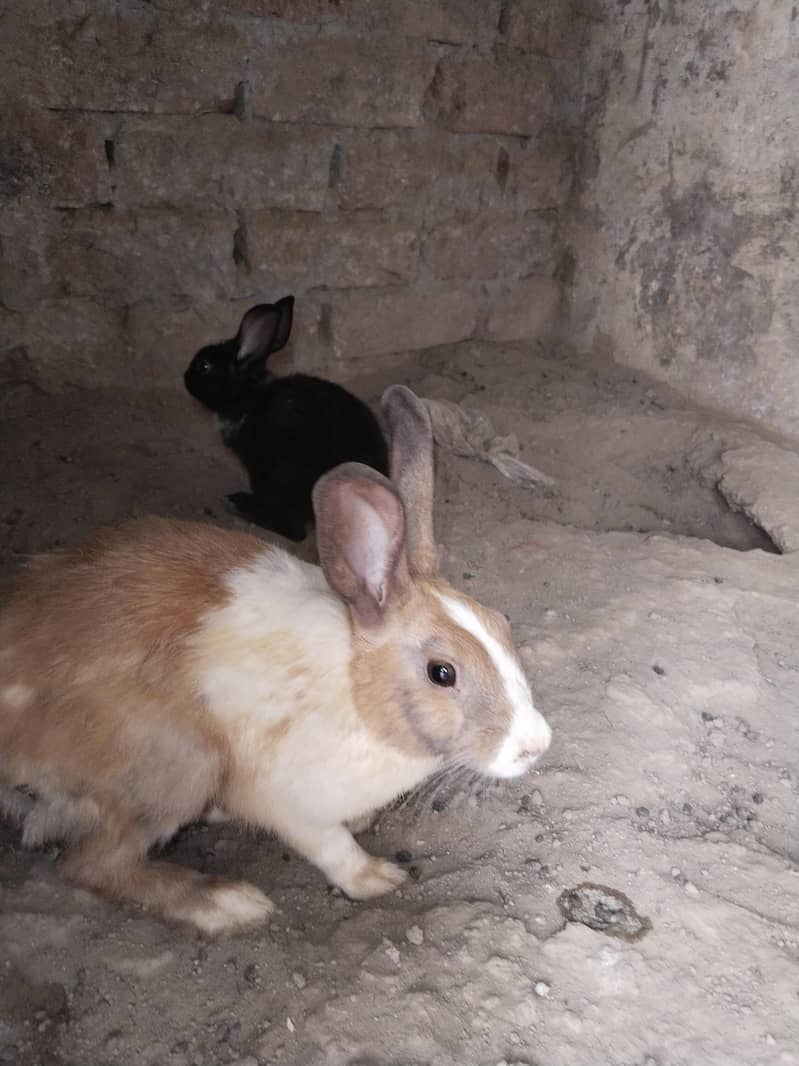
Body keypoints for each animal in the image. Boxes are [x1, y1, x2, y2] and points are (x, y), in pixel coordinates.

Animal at [0, 386, 552, 936]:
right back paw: (228, 903)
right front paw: (376, 878)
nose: (535, 745)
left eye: (502, 623)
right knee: (91, 865)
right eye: (443, 673)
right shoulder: (292, 803)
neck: (356, 689)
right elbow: (332, 847)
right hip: (177, 764)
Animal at [184, 294, 389, 542]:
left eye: (204, 366)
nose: (185, 378)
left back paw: (240, 505)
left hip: (287, 473)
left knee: (295, 531)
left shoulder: (259, 465)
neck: (248, 396)